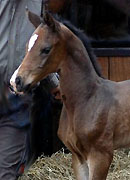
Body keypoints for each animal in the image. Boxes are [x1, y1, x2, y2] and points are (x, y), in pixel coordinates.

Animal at [10, 11, 130, 179]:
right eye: (27, 47)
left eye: (46, 49)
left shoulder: (101, 155)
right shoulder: (78, 157)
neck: (87, 100)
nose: (16, 81)